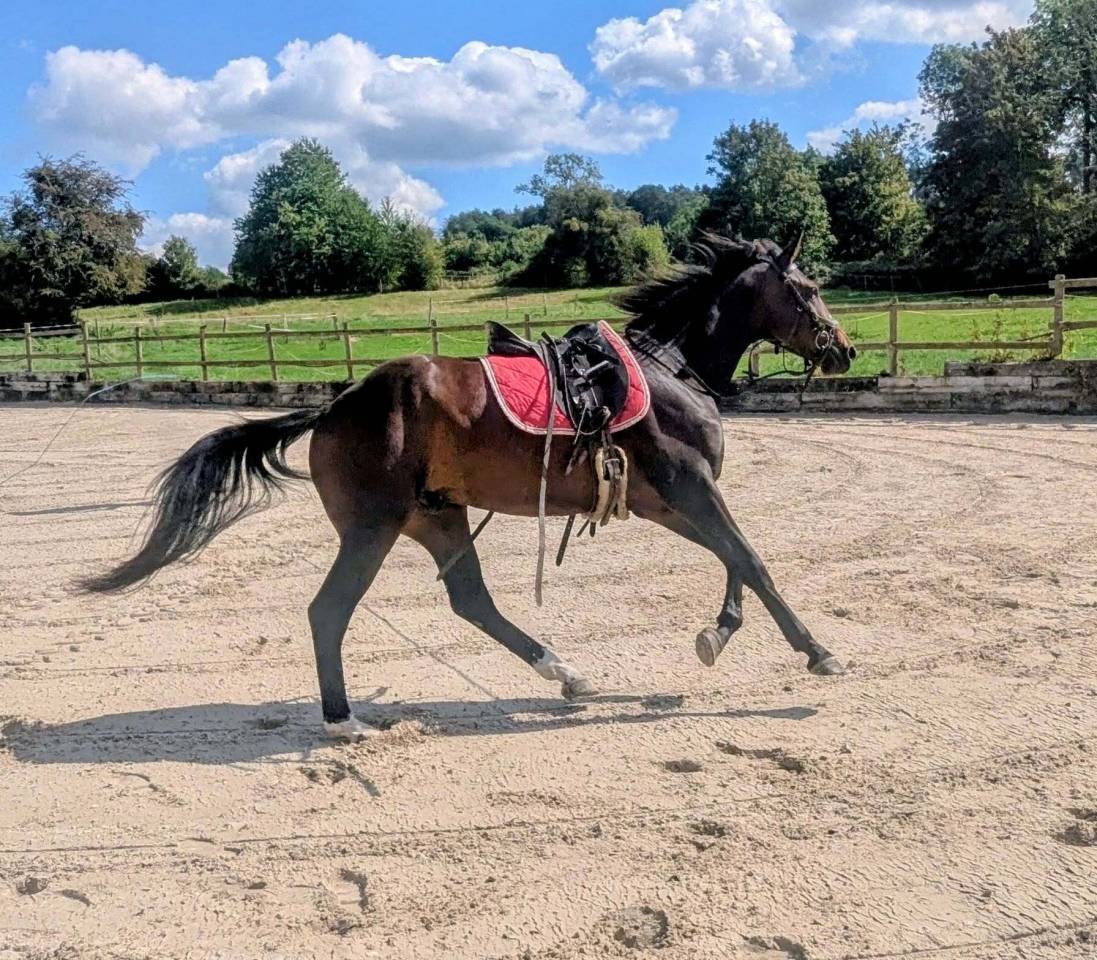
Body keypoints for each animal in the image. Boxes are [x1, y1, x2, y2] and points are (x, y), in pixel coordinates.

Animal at [80, 233, 858, 741]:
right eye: (810, 289)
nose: (843, 348)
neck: (667, 368)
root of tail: (334, 406)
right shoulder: (689, 487)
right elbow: (751, 559)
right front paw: (817, 653)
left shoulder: (664, 500)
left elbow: (733, 562)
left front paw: (718, 633)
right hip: (374, 529)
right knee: (330, 611)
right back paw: (342, 719)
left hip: (438, 516)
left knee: (470, 601)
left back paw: (564, 673)